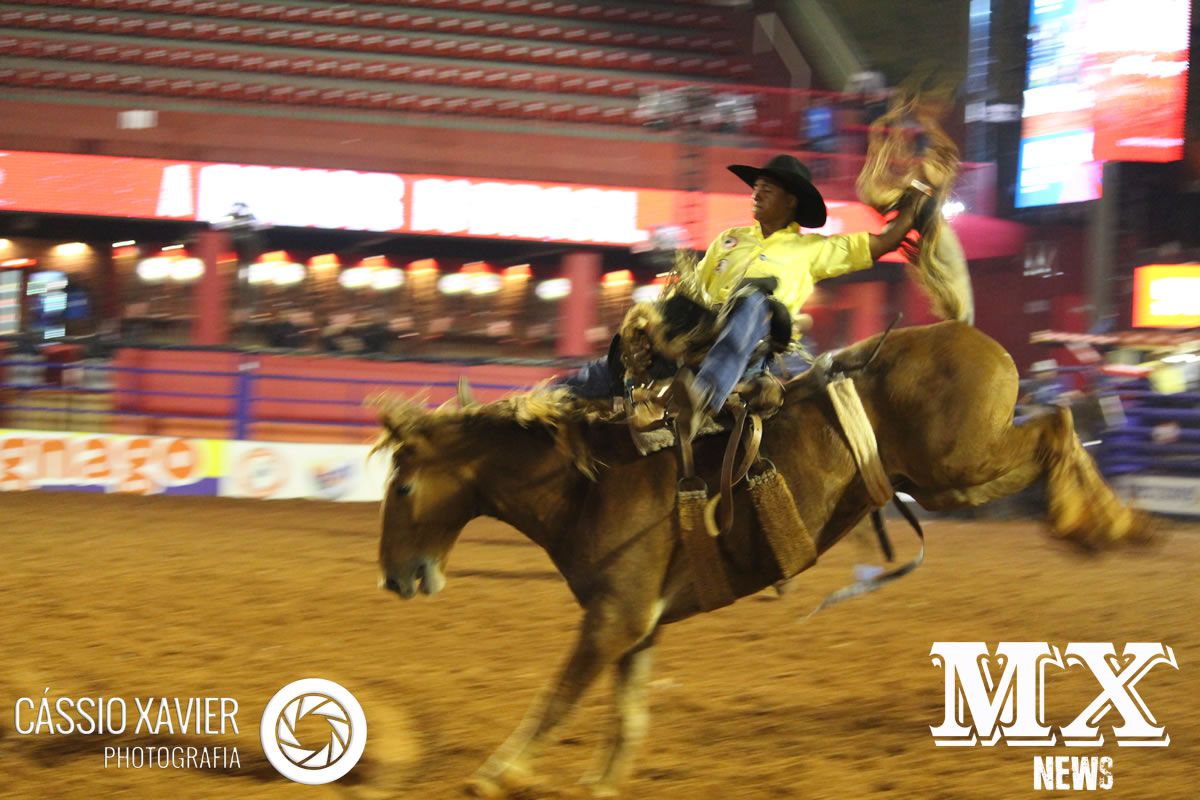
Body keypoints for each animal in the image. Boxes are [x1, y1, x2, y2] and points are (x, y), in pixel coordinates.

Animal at [373, 320, 1153, 798]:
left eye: (404, 486)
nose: (396, 576)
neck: (585, 481)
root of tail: (970, 334)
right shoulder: (637, 625)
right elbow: (627, 716)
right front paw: (598, 784)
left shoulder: (613, 619)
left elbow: (558, 698)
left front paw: (493, 773)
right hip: (952, 478)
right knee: (1056, 429)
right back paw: (1110, 524)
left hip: (961, 465)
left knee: (1057, 426)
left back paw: (1107, 522)